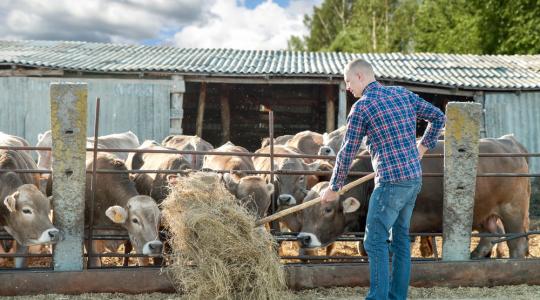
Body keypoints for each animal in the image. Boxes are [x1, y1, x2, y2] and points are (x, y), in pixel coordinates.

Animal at [300, 135, 532, 258]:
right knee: (491, 235)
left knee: (517, 244)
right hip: (484, 212)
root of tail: (508, 141)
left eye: (327, 209)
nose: (304, 238)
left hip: (513, 211)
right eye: (305, 209)